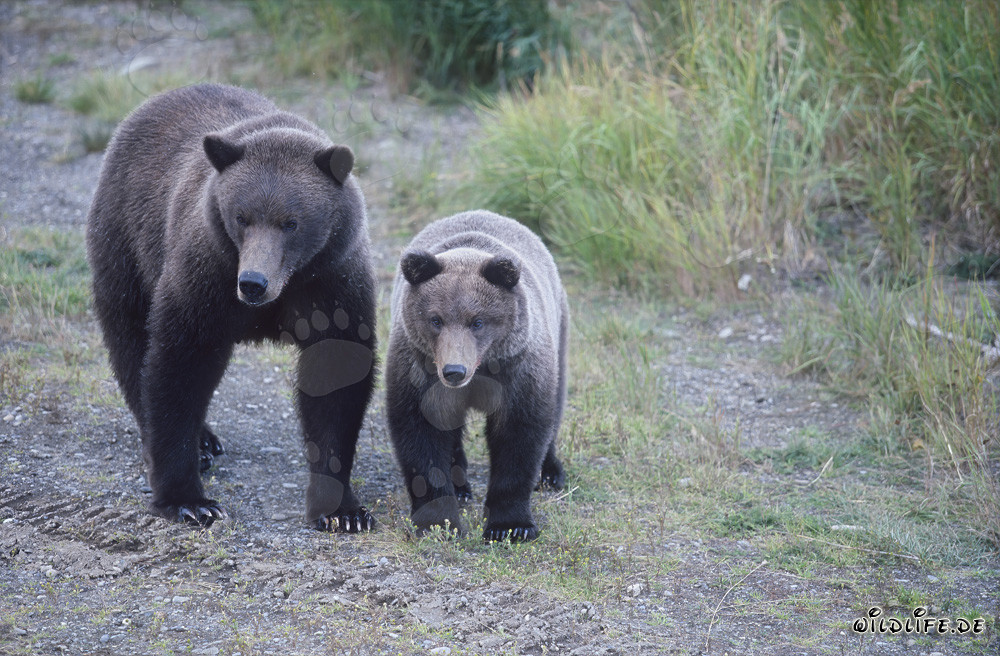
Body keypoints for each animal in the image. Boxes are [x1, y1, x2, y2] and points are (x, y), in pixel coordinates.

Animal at [86, 83, 377, 532]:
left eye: (291, 222)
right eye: (242, 216)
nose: (253, 283)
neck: (286, 286)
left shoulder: (332, 281)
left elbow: (335, 378)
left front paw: (342, 510)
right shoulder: (206, 278)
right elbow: (179, 364)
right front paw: (190, 500)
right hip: (127, 242)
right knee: (131, 339)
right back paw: (199, 442)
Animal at [385, 210, 568, 542]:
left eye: (478, 321)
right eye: (435, 319)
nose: (454, 371)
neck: (480, 373)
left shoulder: (517, 371)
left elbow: (519, 435)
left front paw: (510, 525)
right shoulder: (417, 372)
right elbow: (420, 436)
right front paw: (438, 521)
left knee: (555, 406)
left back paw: (550, 473)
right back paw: (460, 487)